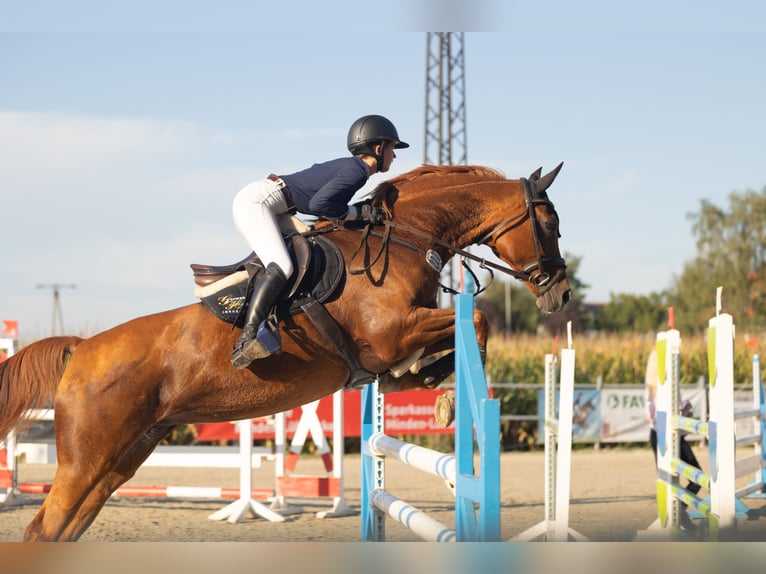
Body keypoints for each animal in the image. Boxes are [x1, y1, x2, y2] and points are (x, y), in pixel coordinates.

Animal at [0, 164, 568, 544]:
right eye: (549, 225)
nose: (560, 294)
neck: (405, 238)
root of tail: (81, 348)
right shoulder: (393, 332)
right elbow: (479, 320)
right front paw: (448, 398)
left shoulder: (394, 346)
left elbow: (429, 354)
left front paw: (432, 382)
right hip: (87, 459)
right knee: (44, 531)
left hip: (122, 458)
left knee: (61, 531)